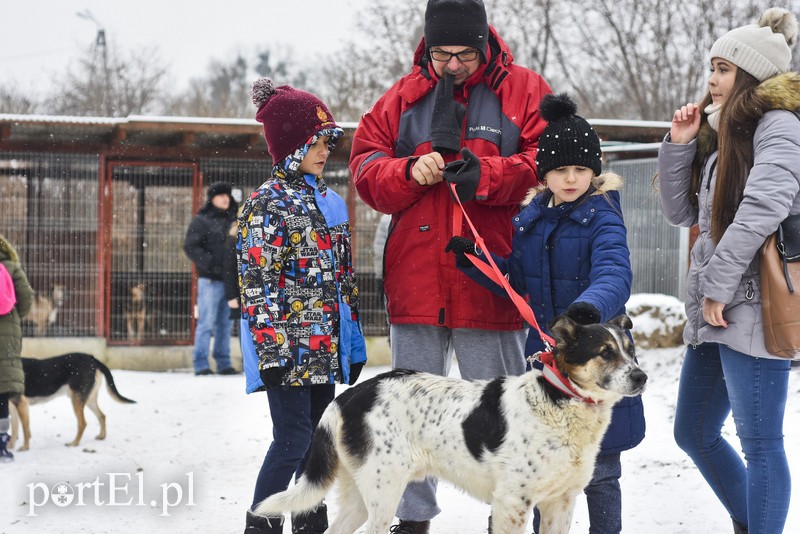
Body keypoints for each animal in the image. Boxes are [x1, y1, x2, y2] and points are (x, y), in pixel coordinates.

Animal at [256, 314, 648, 534]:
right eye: (605, 353)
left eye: (631, 351)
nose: (641, 377)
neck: (561, 400)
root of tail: (349, 395)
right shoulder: (512, 503)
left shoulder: (560, 503)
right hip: (383, 492)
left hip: (360, 493)